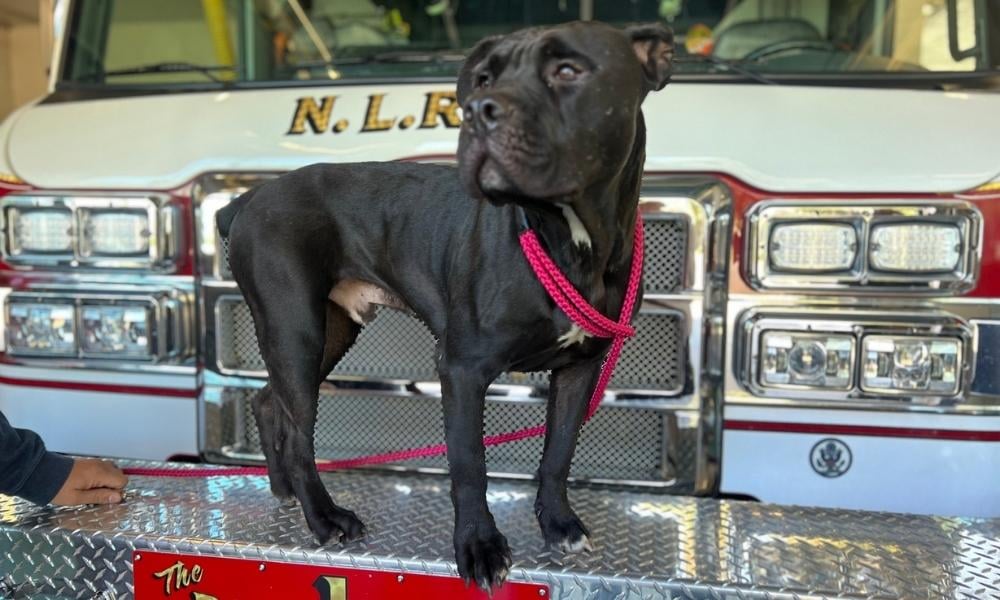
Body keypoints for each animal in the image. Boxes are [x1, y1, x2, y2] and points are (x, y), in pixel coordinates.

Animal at [217, 21, 672, 592]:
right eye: (483, 78)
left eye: (568, 69)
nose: (479, 109)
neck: (566, 239)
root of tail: (247, 199)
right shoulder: (463, 369)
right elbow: (469, 464)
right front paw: (479, 547)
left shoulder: (579, 369)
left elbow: (559, 450)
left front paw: (558, 522)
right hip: (296, 329)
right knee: (299, 432)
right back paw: (324, 518)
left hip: (325, 332)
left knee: (268, 402)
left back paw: (284, 491)